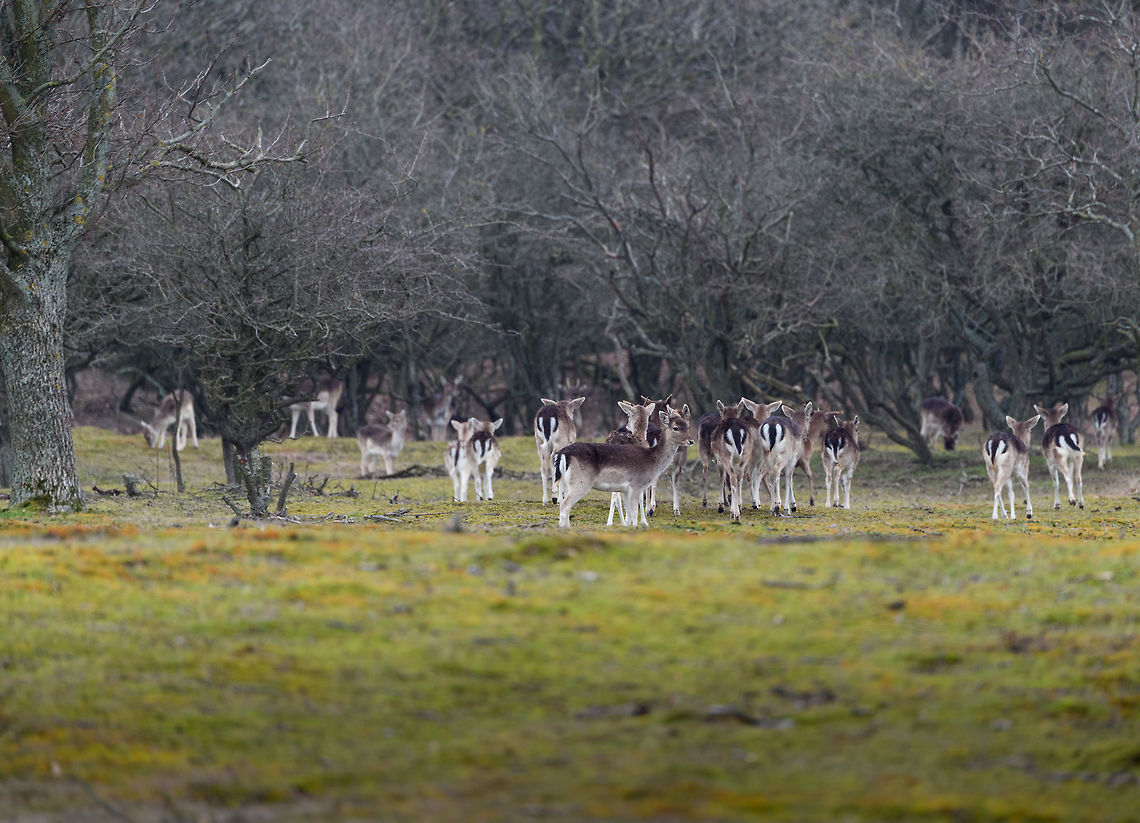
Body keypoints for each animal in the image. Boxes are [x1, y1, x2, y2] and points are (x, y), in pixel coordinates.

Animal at [553, 405, 693, 528]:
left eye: (687, 426)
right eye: (675, 428)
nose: (691, 441)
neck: (653, 460)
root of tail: (563, 453)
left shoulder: (625, 489)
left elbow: (630, 513)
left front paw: (627, 525)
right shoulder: (636, 485)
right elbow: (635, 513)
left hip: (569, 482)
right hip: (581, 481)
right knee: (565, 504)